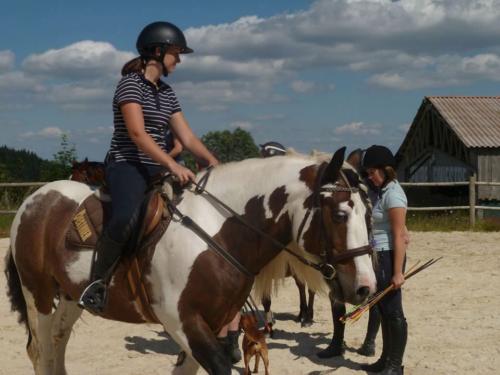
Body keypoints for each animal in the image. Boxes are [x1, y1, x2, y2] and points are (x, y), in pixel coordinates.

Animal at [5, 148, 376, 375]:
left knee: (57, 341)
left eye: (369, 213)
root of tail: (36, 198)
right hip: (37, 294)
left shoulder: (212, 323)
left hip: (70, 297)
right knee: (41, 350)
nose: (365, 287)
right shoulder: (182, 321)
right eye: (340, 214)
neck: (217, 231)